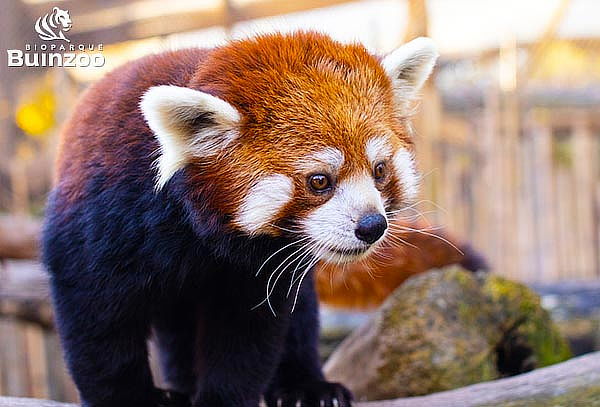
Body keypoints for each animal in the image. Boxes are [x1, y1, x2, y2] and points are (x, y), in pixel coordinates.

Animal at [41, 32, 436, 407]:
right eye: (319, 181)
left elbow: (246, 336)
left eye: (379, 170)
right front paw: (128, 398)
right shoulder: (106, 216)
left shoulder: (258, 268)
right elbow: (98, 322)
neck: (195, 231)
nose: (372, 226)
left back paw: (307, 387)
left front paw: (223, 398)